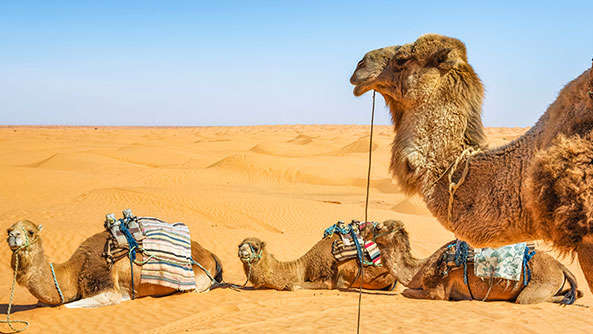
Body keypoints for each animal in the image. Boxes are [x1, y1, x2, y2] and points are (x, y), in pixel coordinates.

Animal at [236, 232, 394, 290]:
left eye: (255, 247)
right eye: (239, 245)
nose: (242, 252)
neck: (305, 265)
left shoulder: (326, 279)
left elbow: (290, 286)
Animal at [360, 220, 584, 304]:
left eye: (378, 228)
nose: (362, 229)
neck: (420, 269)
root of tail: (560, 266)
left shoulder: (437, 292)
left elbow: (407, 292)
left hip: (541, 283)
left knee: (526, 299)